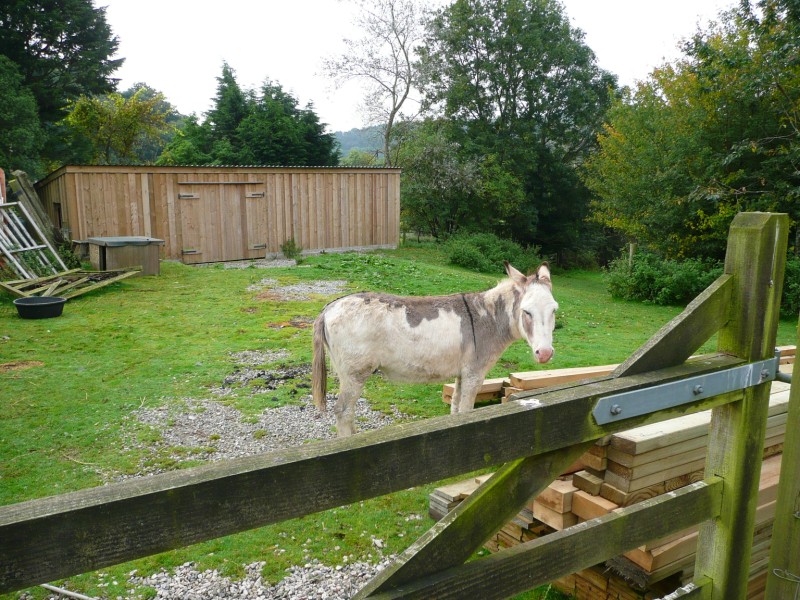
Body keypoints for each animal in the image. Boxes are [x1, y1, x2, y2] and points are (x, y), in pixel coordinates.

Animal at [312, 261, 558, 436]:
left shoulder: (462, 373)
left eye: (554, 310)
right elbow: (466, 410)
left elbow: (456, 408)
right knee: (343, 411)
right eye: (526, 312)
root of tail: (329, 307)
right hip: (354, 373)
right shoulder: (474, 373)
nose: (545, 354)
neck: (489, 318)